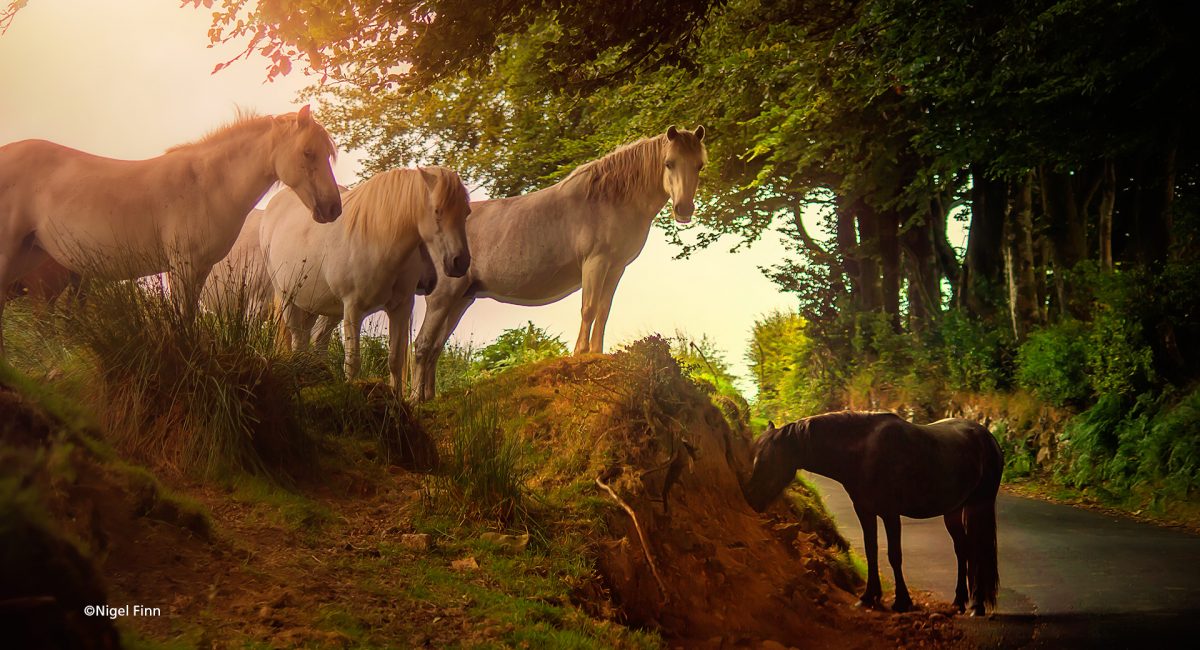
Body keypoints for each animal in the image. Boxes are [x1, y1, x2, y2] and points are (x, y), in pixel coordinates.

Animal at [0, 106, 343, 354]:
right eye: (308, 152)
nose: (333, 209)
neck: (206, 184)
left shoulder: (200, 269)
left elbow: (187, 316)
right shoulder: (182, 266)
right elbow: (181, 317)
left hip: (28, 255)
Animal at [262, 169, 468, 393]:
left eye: (466, 212)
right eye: (438, 211)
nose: (460, 262)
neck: (377, 239)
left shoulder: (400, 308)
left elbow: (395, 360)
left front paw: (396, 398)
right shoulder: (353, 308)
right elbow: (353, 362)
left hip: (320, 307)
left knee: (315, 341)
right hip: (288, 299)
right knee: (298, 343)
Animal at [415, 125, 705, 402]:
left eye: (699, 165)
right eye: (669, 163)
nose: (683, 210)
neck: (611, 199)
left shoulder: (615, 267)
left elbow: (603, 310)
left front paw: (597, 353)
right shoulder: (595, 261)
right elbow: (588, 308)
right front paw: (581, 353)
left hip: (461, 299)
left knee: (435, 348)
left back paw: (429, 399)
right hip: (443, 297)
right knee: (422, 346)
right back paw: (415, 400)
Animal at [744, 412, 998, 618]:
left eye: (767, 460)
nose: (750, 498)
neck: (864, 452)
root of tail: (987, 437)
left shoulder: (890, 513)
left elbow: (894, 556)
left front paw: (902, 602)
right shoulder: (865, 511)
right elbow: (871, 550)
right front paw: (868, 597)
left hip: (978, 506)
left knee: (977, 550)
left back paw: (977, 606)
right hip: (953, 510)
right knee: (963, 550)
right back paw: (958, 602)